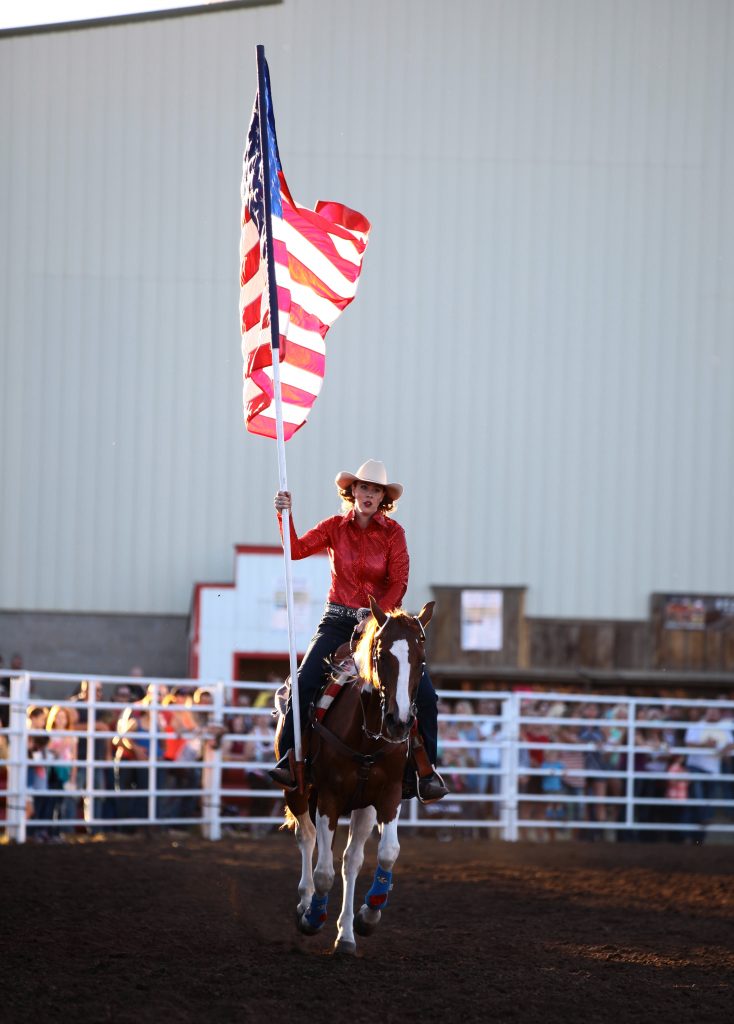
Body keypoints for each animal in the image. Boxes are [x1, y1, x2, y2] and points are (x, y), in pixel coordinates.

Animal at [276, 598, 436, 954]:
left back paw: (346, 934)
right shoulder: (329, 798)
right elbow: (324, 871)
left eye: (421, 661)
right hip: (298, 791)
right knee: (307, 838)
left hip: (363, 806)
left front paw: (368, 915)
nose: (399, 723)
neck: (367, 735)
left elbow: (388, 853)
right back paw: (305, 903)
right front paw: (312, 917)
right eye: (381, 655)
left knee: (351, 860)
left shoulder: (389, 795)